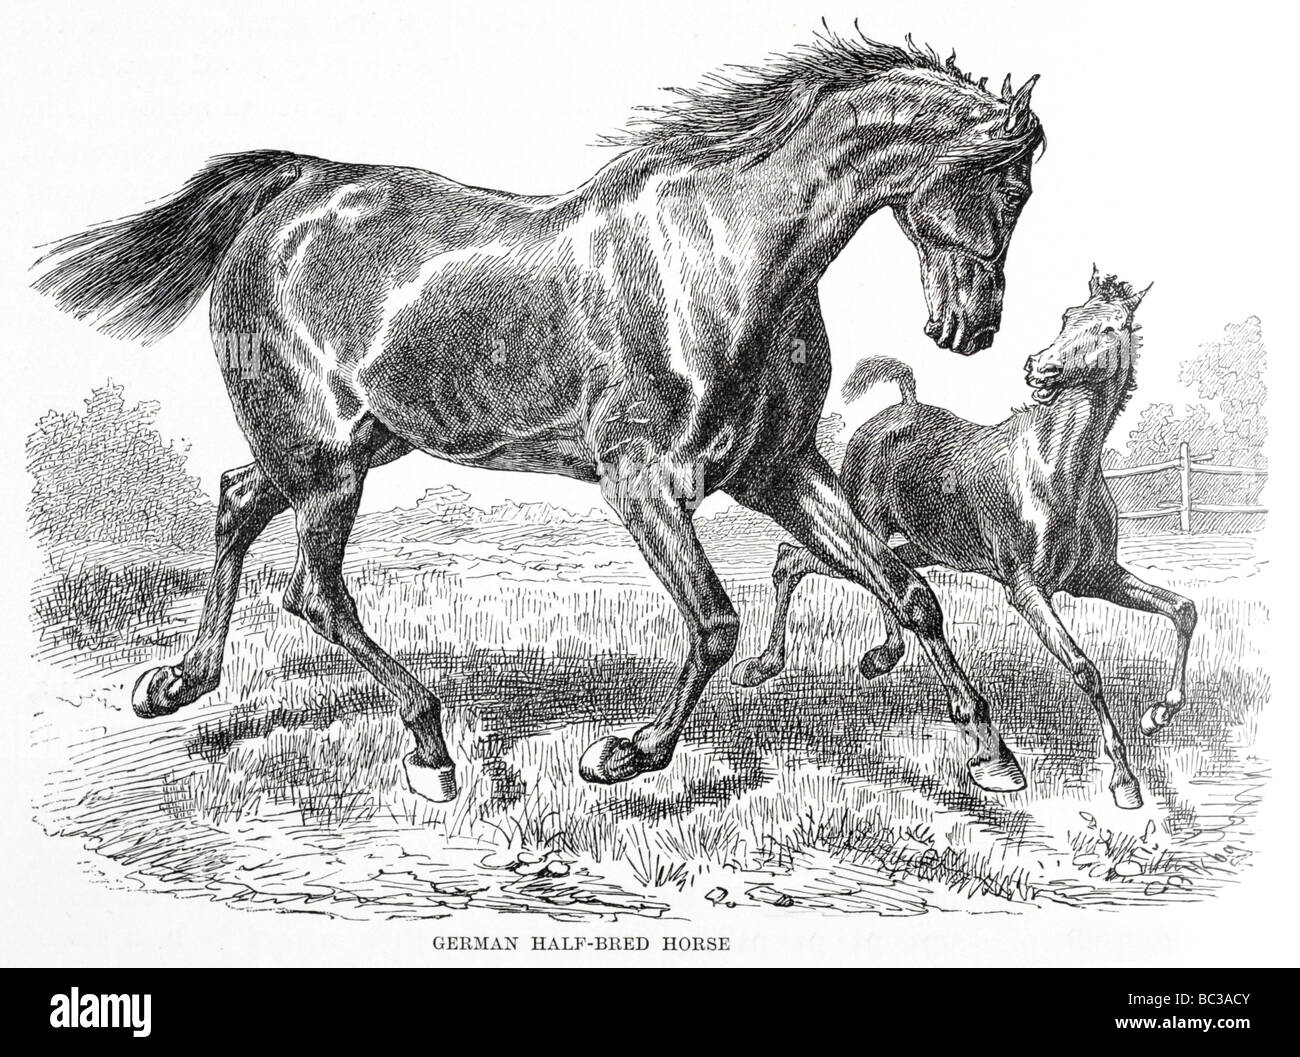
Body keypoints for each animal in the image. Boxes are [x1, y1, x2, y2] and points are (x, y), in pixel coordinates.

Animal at [32, 32, 1045, 803]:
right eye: (1009, 187)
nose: (971, 327)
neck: (729, 256)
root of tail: (293, 188)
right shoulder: (645, 481)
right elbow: (715, 623)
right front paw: (628, 754)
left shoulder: (779, 471)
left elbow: (909, 593)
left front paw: (993, 754)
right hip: (323, 459)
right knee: (314, 590)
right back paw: (430, 747)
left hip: (354, 442)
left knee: (241, 499)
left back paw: (180, 682)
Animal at [734, 269, 1197, 809]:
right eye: (1067, 317)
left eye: (1110, 328)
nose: (1040, 367)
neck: (1058, 471)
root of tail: (899, 407)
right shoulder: (1025, 588)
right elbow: (1085, 668)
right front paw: (1125, 781)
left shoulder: (1095, 579)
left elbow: (1183, 609)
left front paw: (1159, 714)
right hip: (861, 525)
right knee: (803, 560)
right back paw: (767, 665)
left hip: (920, 545)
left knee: (864, 575)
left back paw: (877, 657)